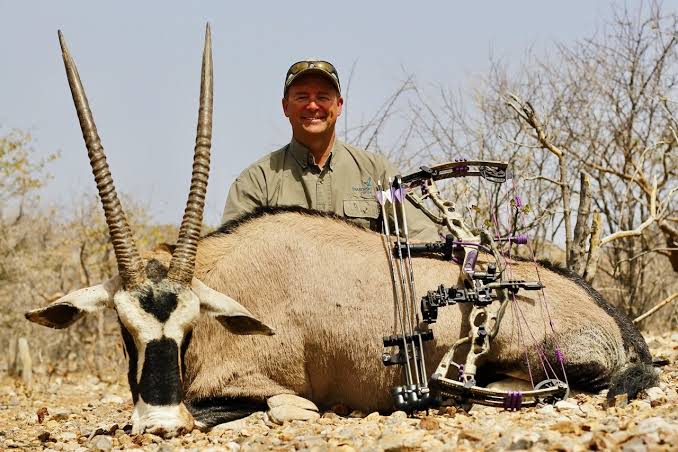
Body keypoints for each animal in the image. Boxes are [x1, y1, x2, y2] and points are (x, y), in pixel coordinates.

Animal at [25, 26, 657, 437]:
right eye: (123, 327)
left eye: (186, 325)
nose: (159, 423)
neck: (225, 277)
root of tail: (613, 321)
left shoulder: (253, 385)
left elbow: (278, 408)